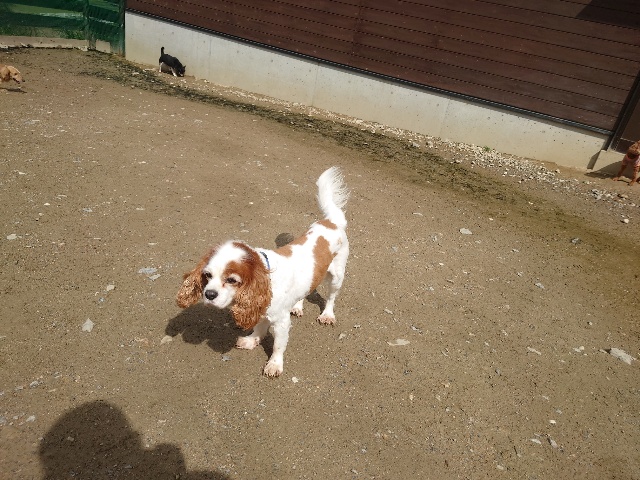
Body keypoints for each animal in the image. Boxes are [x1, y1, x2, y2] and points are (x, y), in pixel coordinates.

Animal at [176, 167, 350, 377]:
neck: (266, 278)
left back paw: (327, 315)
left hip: (337, 276)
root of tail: (332, 221)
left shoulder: (281, 321)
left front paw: (274, 365)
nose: (209, 294)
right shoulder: (260, 308)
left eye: (232, 280)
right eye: (207, 275)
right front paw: (252, 340)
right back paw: (297, 306)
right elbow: (259, 327)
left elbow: (278, 346)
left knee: (331, 297)